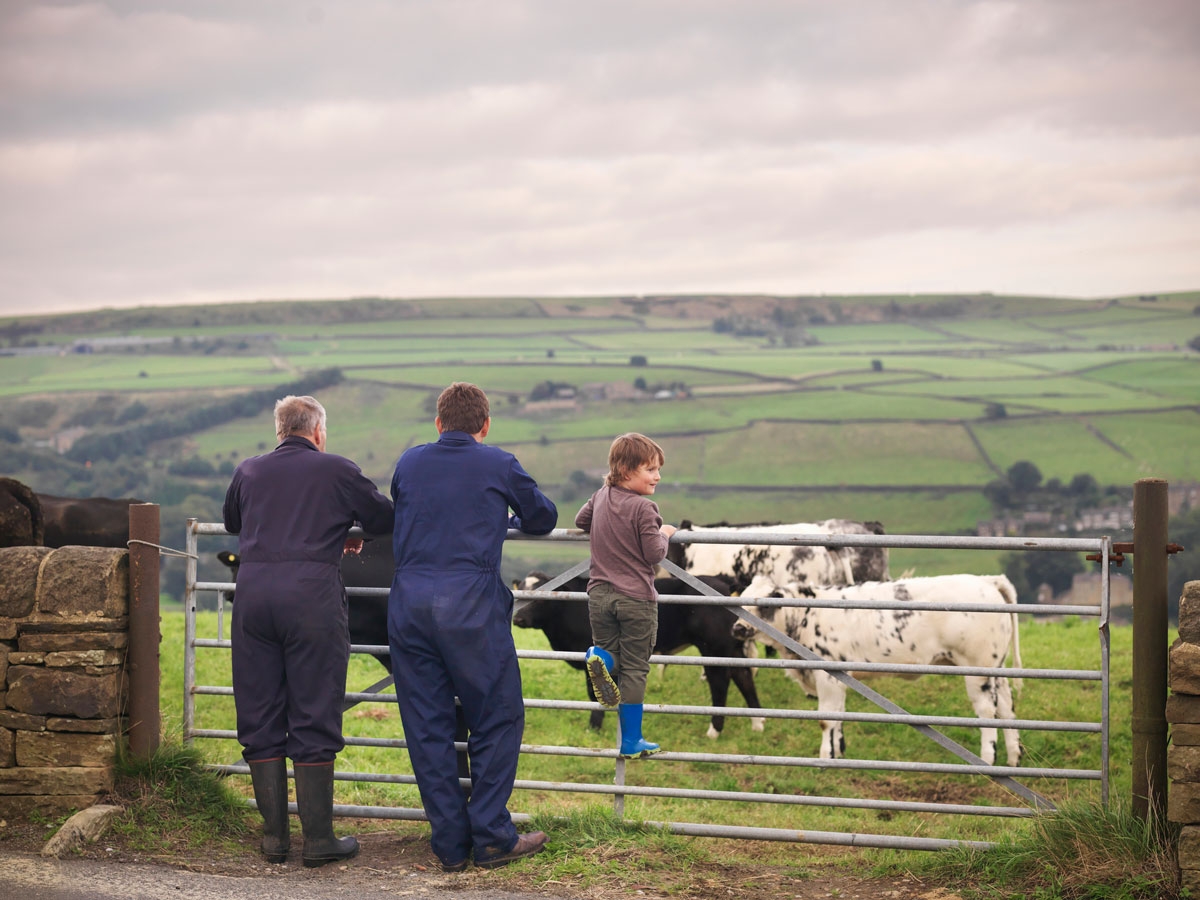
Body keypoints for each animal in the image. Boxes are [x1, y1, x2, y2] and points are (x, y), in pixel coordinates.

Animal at [513, 571, 758, 739]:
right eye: (519, 592)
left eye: (541, 597)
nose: (518, 618)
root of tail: (720, 581)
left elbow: (594, 693)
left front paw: (594, 727)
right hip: (731, 647)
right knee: (744, 677)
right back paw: (757, 723)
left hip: (714, 649)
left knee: (720, 683)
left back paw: (714, 730)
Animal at [729, 573, 1022, 763]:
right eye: (741, 598)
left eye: (764, 601)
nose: (738, 628)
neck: (807, 615)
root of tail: (986, 580)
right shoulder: (840, 676)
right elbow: (839, 716)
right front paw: (839, 752)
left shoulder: (826, 675)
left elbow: (826, 719)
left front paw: (825, 757)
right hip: (997, 669)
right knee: (1007, 708)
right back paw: (1014, 757)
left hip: (978, 668)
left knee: (988, 712)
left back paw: (988, 760)